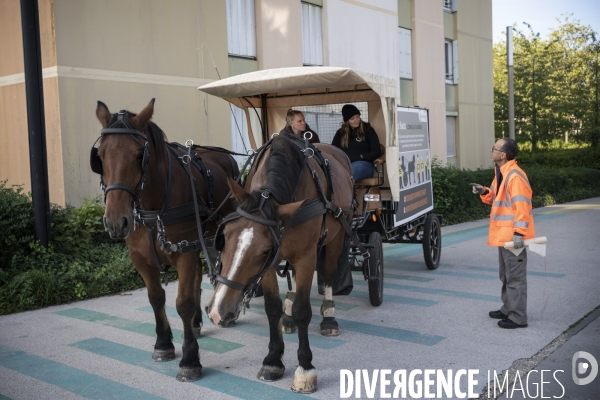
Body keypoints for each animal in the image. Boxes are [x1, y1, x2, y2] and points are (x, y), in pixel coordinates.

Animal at [92, 100, 238, 382]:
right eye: (100, 156)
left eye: (140, 155)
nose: (115, 221)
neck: (153, 205)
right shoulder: (139, 257)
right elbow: (156, 297)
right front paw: (163, 343)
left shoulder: (184, 253)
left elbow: (183, 303)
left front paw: (190, 359)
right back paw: (196, 323)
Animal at [206, 133, 356, 392]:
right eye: (224, 236)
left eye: (265, 250)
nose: (217, 312)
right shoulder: (267, 268)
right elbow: (272, 308)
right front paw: (273, 359)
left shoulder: (306, 257)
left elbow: (303, 310)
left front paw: (305, 368)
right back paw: (288, 317)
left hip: (336, 237)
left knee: (328, 273)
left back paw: (328, 317)